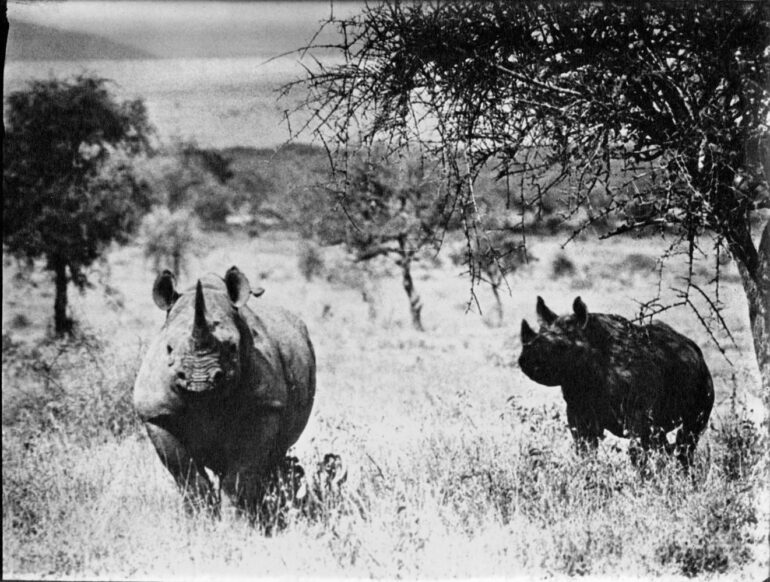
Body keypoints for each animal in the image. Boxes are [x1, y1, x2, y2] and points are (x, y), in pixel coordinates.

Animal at [133, 266, 316, 516]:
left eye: (232, 347)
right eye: (168, 348)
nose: (199, 380)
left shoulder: (263, 406)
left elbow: (241, 474)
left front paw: (236, 521)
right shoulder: (157, 413)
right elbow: (186, 474)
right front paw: (202, 519)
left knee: (273, 457)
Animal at [518, 296, 714, 467]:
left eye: (562, 347)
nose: (524, 360)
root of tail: (696, 352)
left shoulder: (639, 414)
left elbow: (638, 450)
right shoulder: (578, 410)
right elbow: (585, 449)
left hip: (703, 381)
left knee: (688, 436)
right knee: (663, 438)